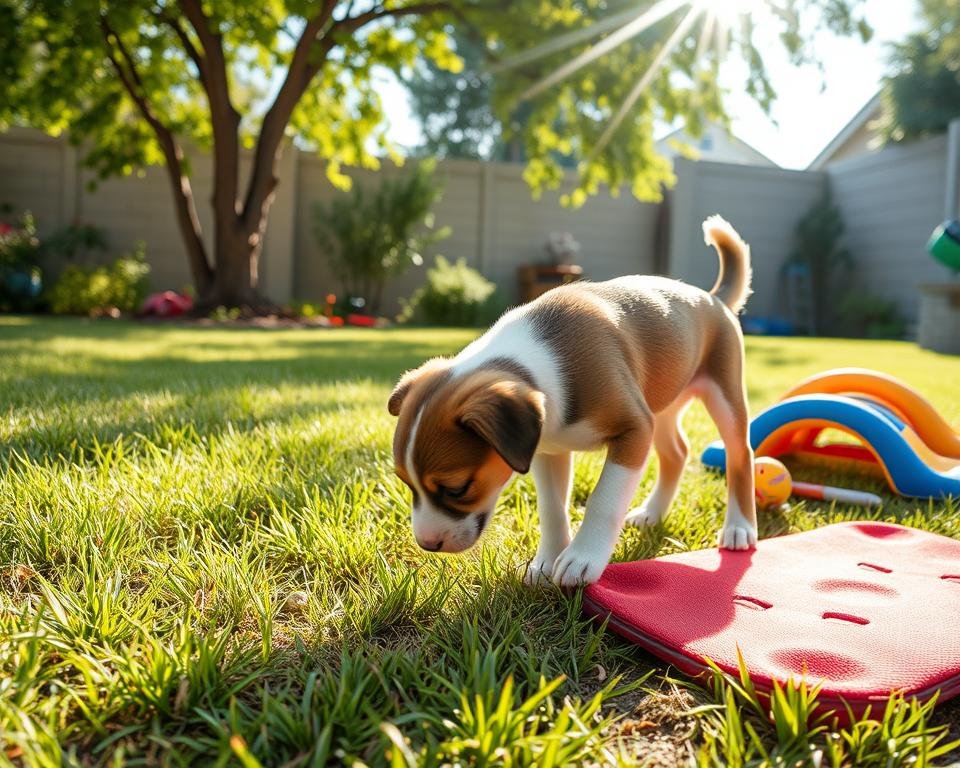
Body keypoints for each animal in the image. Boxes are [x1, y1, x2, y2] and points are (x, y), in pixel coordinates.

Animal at [390, 216, 756, 588]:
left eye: (457, 488)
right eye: (405, 482)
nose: (427, 543)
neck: (542, 360)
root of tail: (713, 298)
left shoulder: (634, 430)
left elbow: (604, 500)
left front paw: (583, 558)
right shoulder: (548, 450)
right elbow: (552, 509)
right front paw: (546, 562)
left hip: (723, 395)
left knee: (740, 454)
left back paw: (739, 527)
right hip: (664, 406)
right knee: (677, 453)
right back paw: (652, 513)